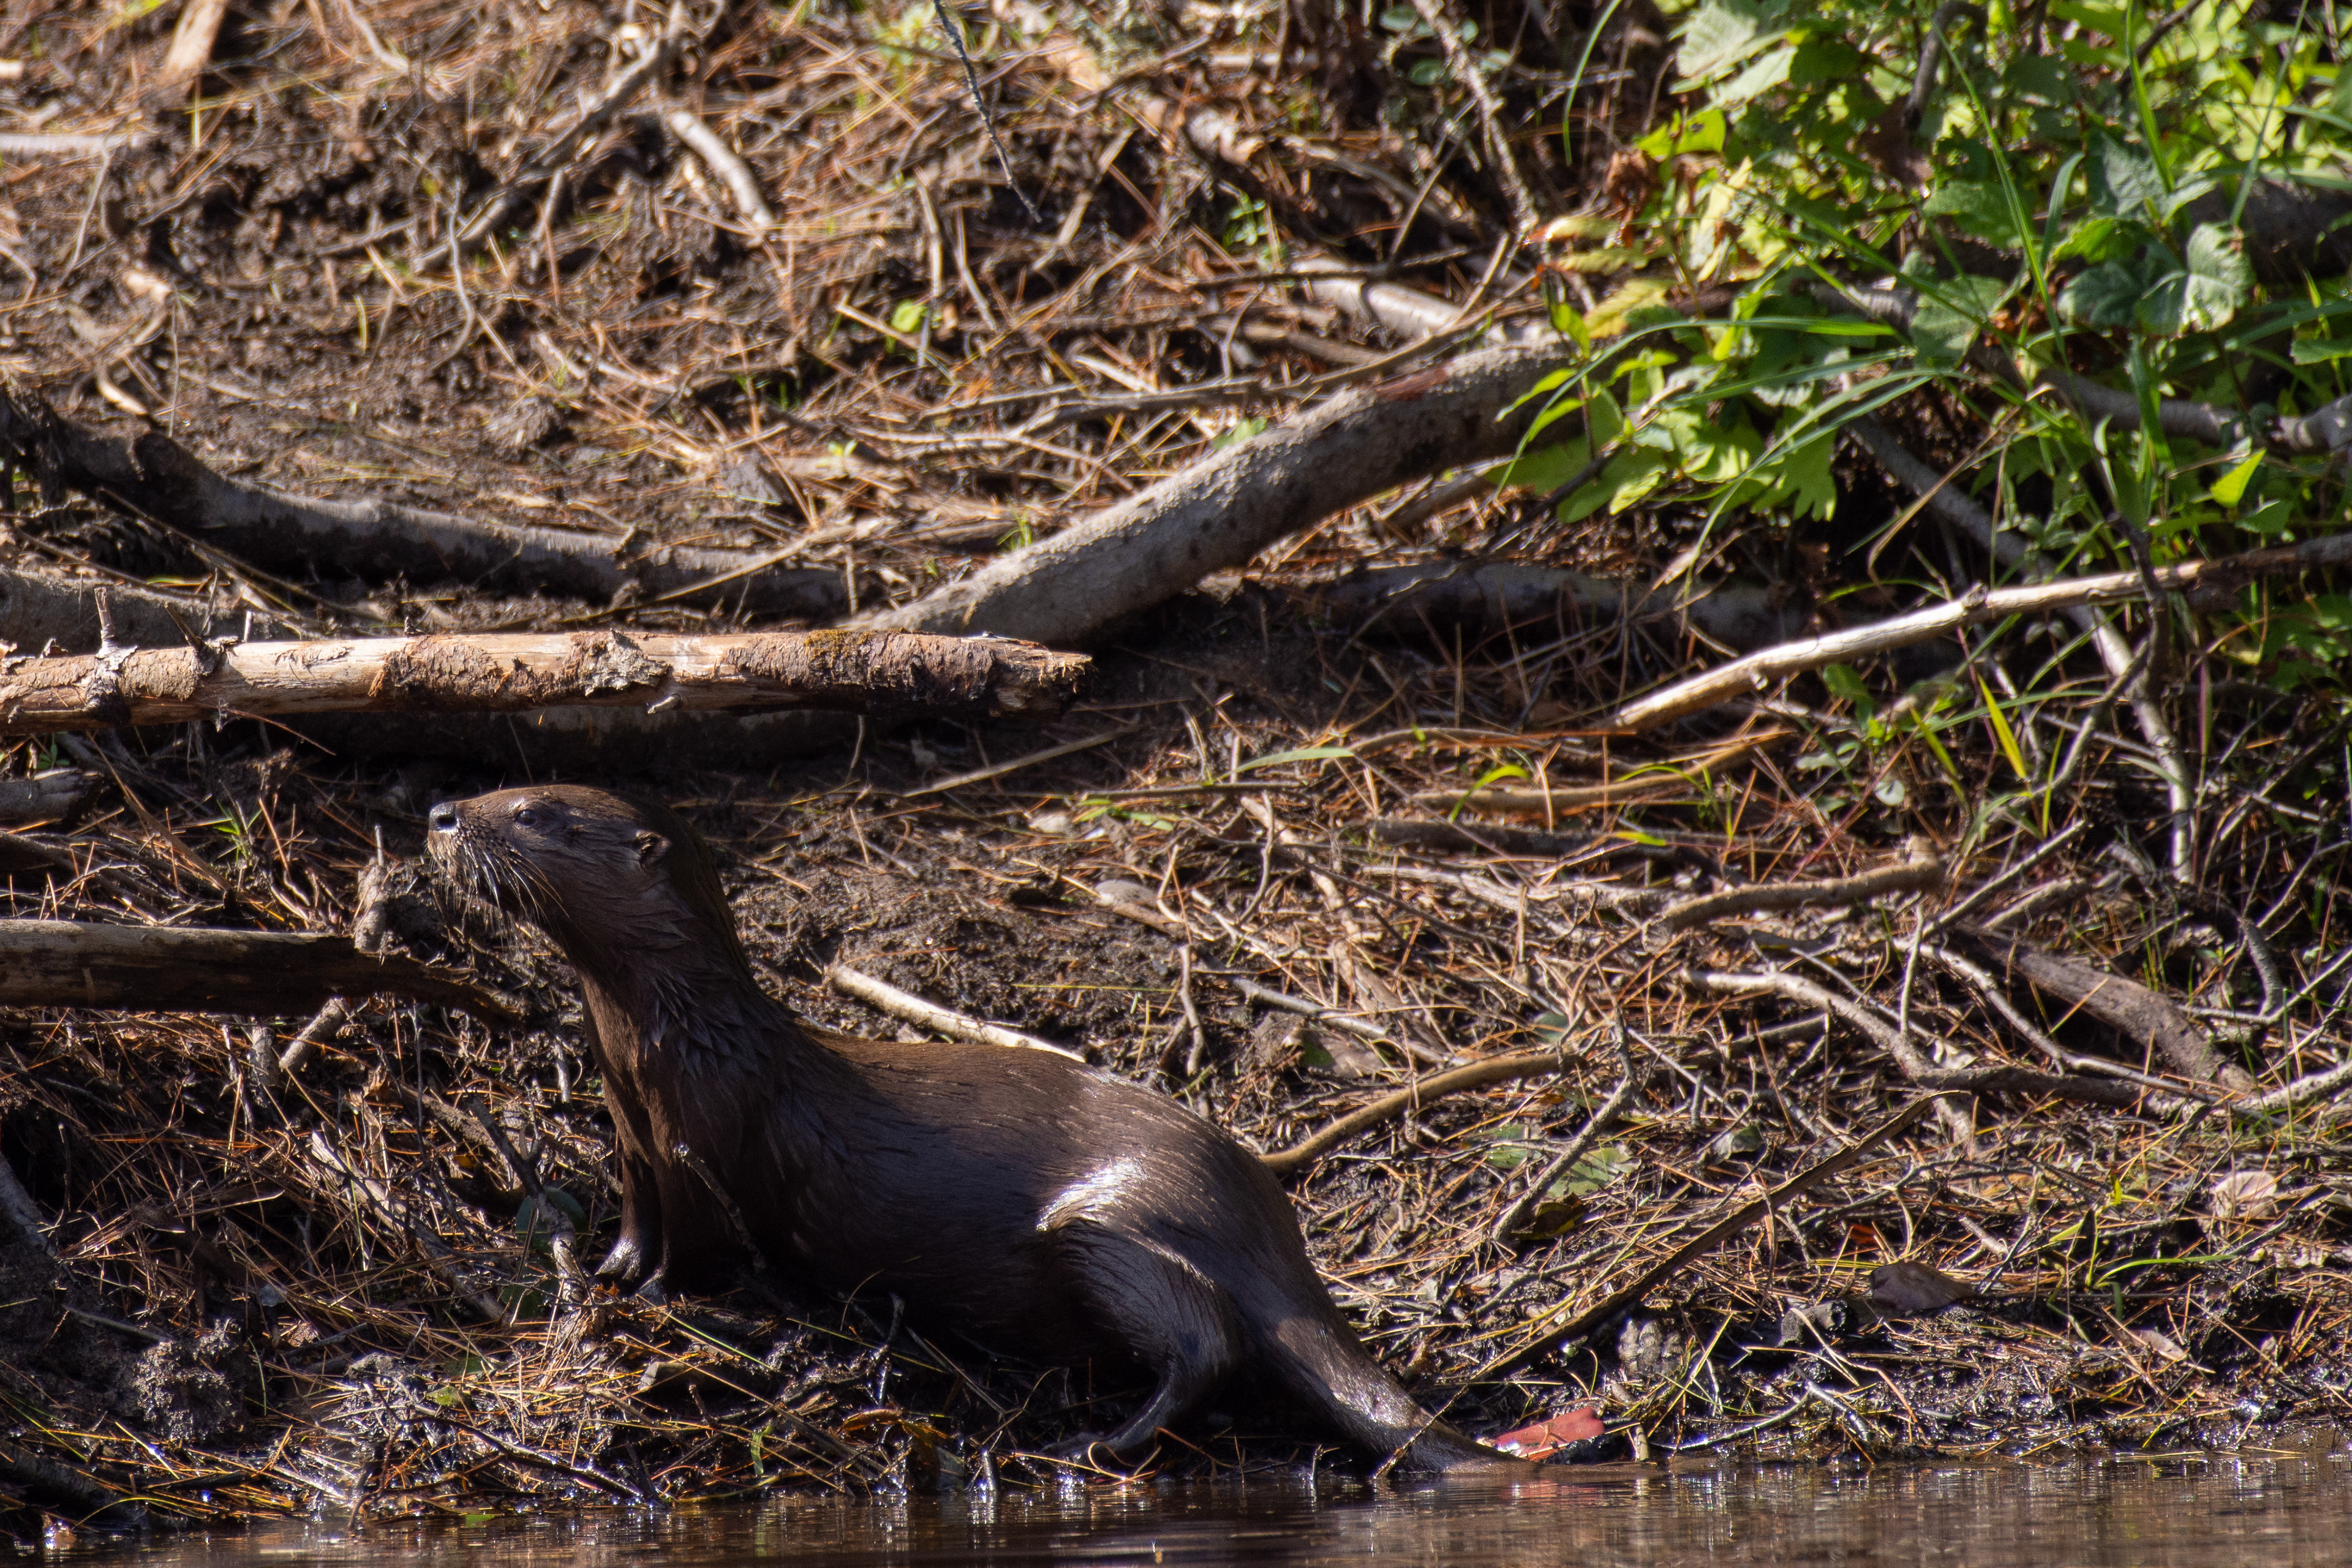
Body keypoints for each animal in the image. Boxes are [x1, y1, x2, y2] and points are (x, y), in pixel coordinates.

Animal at [427, 784, 1524, 1472]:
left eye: (533, 811)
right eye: (501, 786)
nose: (440, 813)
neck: (670, 1057)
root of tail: (1270, 1226)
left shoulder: (708, 1142)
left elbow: (699, 1251)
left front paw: (655, 1302)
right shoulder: (633, 1143)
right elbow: (636, 1223)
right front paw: (604, 1273)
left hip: (1113, 1228)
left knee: (1205, 1344)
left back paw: (1093, 1448)